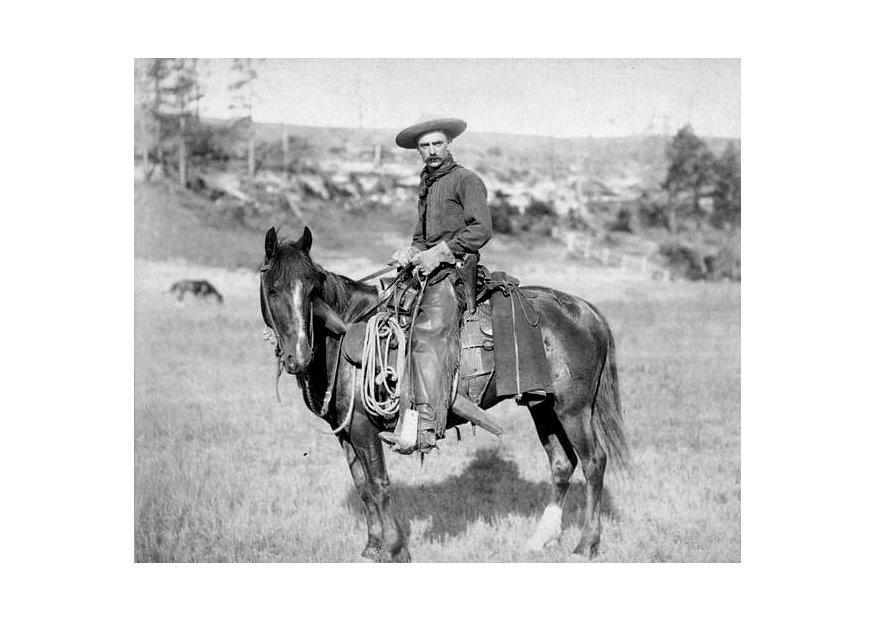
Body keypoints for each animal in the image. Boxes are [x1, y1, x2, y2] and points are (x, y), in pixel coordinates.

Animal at [260, 226, 628, 560]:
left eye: (312, 288)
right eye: (273, 289)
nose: (298, 356)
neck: (344, 333)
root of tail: (584, 310)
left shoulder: (364, 428)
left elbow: (379, 484)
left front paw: (394, 549)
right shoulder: (346, 432)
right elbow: (363, 487)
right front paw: (372, 547)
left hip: (573, 408)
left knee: (594, 462)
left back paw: (586, 545)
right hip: (543, 405)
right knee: (562, 463)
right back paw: (541, 539)